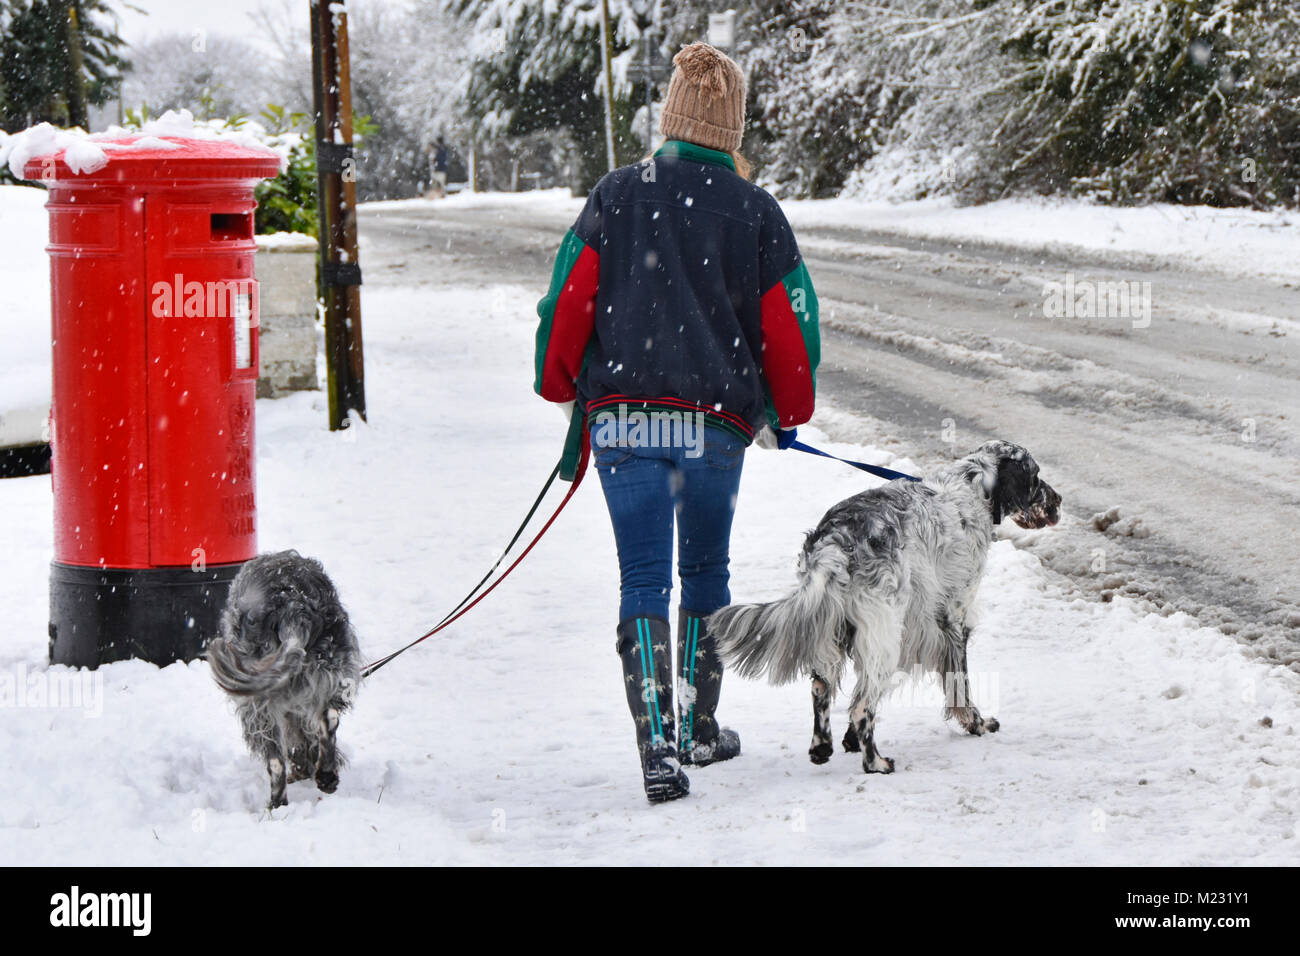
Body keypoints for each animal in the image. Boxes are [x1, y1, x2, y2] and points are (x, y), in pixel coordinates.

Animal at [206, 548, 361, 811]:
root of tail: (293, 605)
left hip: (256, 705)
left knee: (275, 760)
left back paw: (277, 804)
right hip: (331, 671)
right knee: (328, 718)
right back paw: (326, 775)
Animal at [707, 442, 1060, 780]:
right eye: (1035, 477)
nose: (1059, 500)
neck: (973, 487)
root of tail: (836, 542)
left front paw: (848, 740)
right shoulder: (952, 619)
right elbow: (960, 686)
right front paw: (979, 724)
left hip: (836, 628)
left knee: (822, 687)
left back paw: (822, 747)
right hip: (884, 629)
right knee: (862, 705)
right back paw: (876, 762)